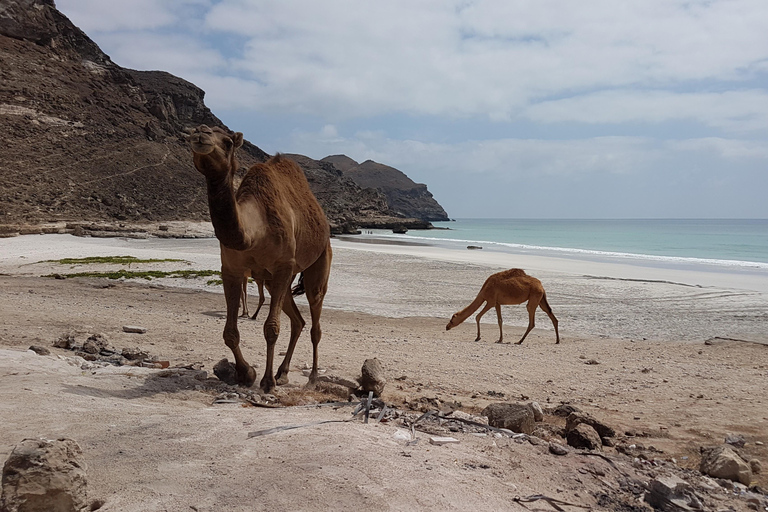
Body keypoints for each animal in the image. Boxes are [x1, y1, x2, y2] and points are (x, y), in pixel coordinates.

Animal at [190, 124, 332, 392]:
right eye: (195, 130)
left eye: (227, 142)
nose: (200, 136)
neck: (254, 232)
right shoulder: (231, 269)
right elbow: (230, 332)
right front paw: (246, 373)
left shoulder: (283, 266)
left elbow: (271, 328)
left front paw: (266, 381)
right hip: (273, 280)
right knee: (298, 321)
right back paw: (283, 373)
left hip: (318, 261)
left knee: (315, 321)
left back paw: (312, 378)